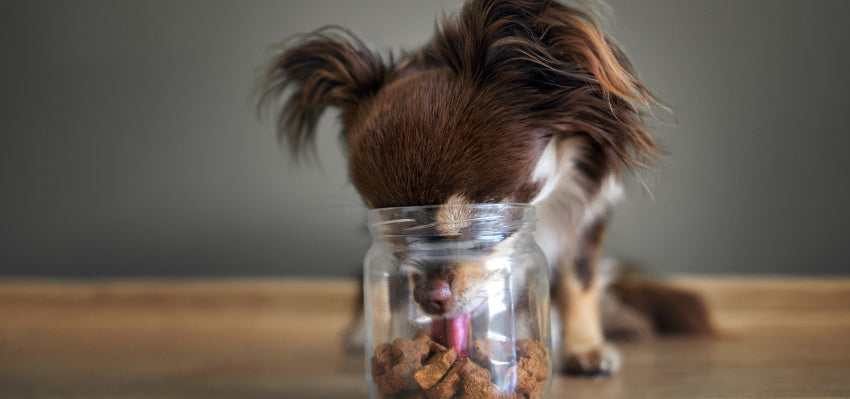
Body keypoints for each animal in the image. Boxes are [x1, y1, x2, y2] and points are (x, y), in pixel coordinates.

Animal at [256, 0, 708, 376]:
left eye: (482, 226)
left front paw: (585, 349)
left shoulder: (587, 214)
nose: (428, 299)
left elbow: (579, 283)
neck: (543, 207)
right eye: (395, 234)